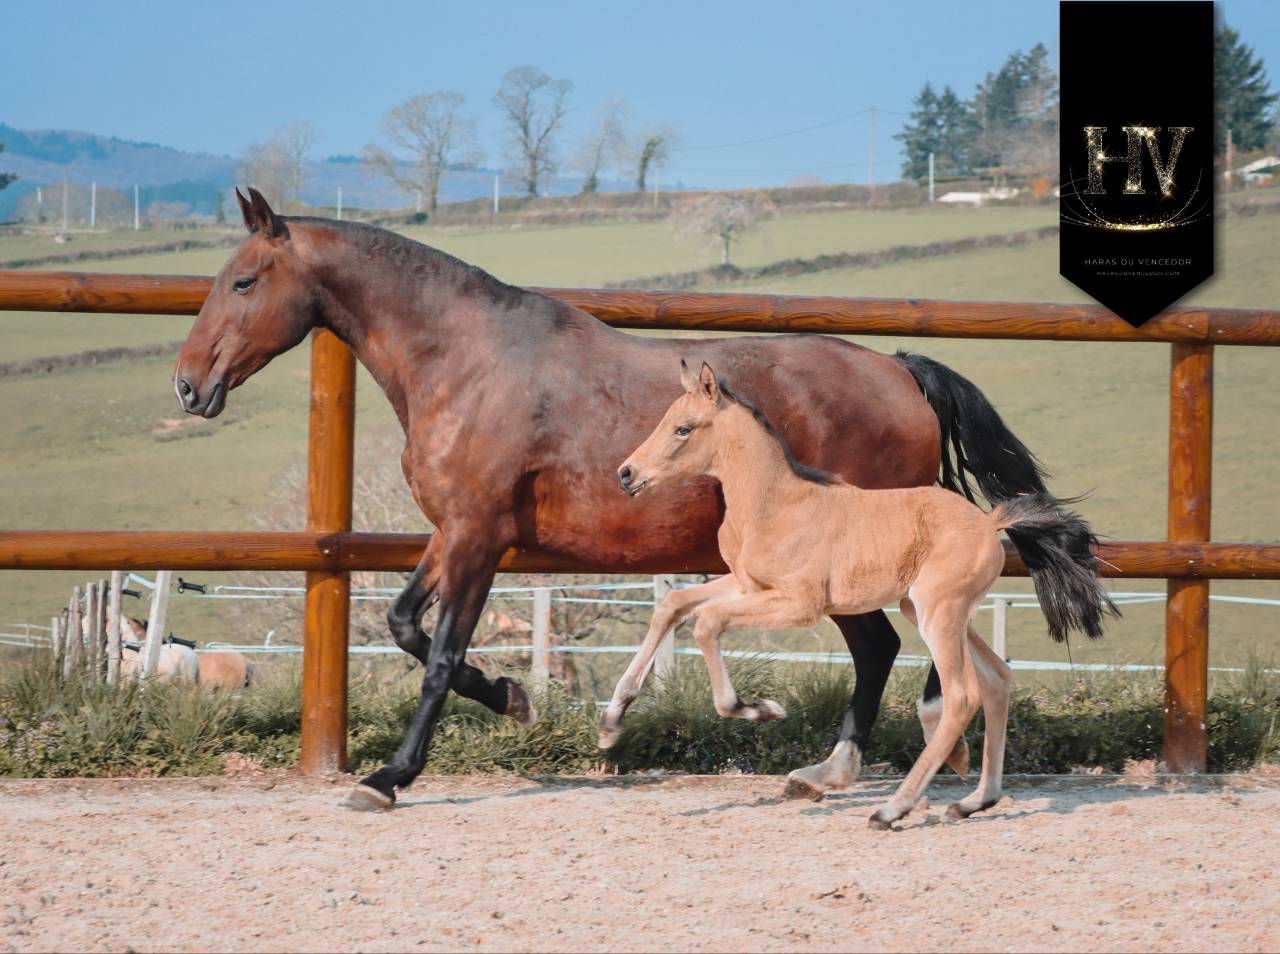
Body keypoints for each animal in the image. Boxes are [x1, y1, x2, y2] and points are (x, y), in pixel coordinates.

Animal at [174, 187, 1052, 811]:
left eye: (243, 281)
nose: (189, 386)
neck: (465, 360)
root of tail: (901, 372)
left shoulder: (480, 536)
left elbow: (440, 655)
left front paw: (390, 777)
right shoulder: (453, 531)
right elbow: (403, 626)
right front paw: (518, 698)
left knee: (885, 649)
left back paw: (855, 768)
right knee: (881, 651)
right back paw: (832, 772)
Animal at [612, 361, 1116, 827]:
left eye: (683, 428)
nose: (626, 474)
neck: (774, 506)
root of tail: (989, 522)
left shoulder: (799, 604)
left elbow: (706, 623)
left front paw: (758, 709)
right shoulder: (745, 584)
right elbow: (674, 606)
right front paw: (613, 720)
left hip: (938, 614)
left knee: (961, 696)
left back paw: (892, 809)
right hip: (931, 611)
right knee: (997, 679)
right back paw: (973, 801)